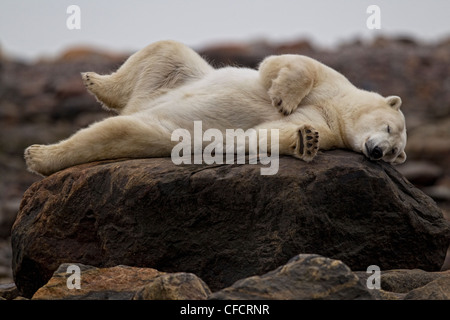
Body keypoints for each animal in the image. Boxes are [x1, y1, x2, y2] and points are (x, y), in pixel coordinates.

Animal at [24, 39, 408, 178]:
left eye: (395, 153)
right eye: (389, 129)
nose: (377, 152)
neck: (338, 110)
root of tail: (138, 105)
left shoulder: (329, 127)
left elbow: (267, 135)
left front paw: (305, 140)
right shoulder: (334, 84)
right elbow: (286, 64)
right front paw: (282, 98)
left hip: (160, 127)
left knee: (119, 132)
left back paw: (40, 156)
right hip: (176, 76)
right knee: (166, 49)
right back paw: (94, 82)